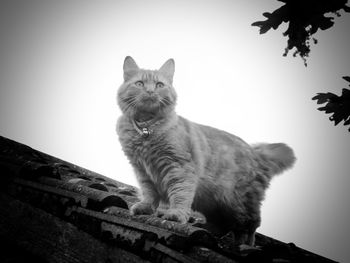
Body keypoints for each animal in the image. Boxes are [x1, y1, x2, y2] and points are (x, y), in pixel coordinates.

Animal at [115, 56, 296, 248]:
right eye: (140, 83)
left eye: (159, 85)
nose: (150, 91)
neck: (146, 130)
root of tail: (256, 154)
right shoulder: (142, 171)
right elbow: (149, 193)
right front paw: (146, 208)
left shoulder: (179, 168)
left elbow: (180, 194)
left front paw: (176, 214)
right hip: (214, 203)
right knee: (222, 225)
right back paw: (207, 229)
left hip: (239, 204)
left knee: (250, 226)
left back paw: (243, 245)